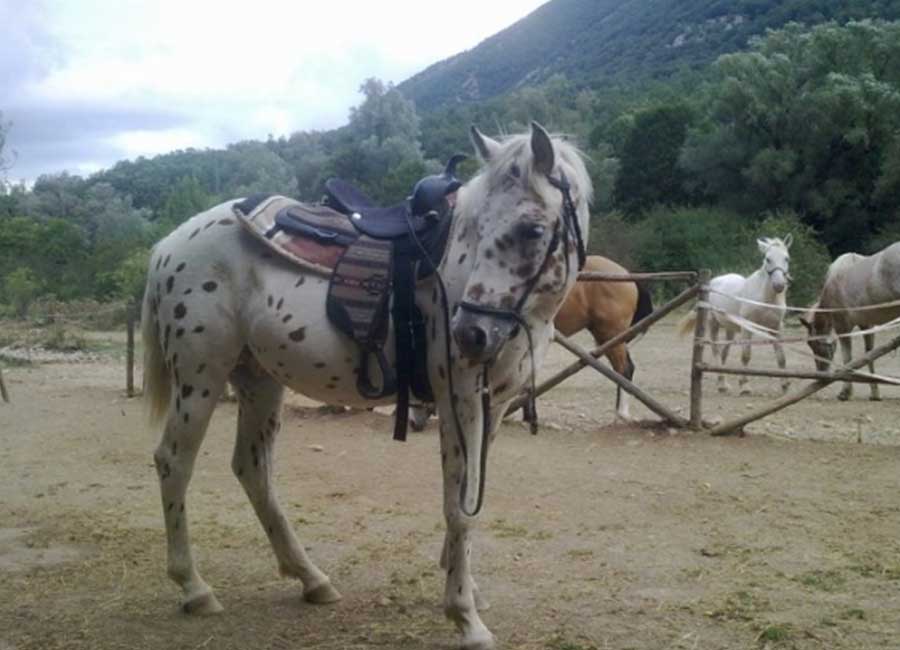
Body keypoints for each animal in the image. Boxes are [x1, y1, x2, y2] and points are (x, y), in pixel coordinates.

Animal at [141, 122, 592, 650]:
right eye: (477, 227)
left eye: (532, 229)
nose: (468, 334)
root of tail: (168, 245)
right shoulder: (459, 399)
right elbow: (458, 507)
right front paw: (464, 617)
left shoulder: (495, 404)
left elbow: (472, 497)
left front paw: (466, 588)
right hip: (200, 374)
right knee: (174, 462)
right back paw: (194, 587)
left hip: (258, 380)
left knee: (253, 471)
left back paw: (311, 578)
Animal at [679, 236, 793, 394]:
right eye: (767, 259)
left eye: (786, 258)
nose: (779, 285)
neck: (765, 298)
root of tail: (712, 282)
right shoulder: (747, 328)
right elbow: (746, 355)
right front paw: (745, 386)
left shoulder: (775, 328)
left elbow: (781, 357)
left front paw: (785, 385)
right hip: (713, 324)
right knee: (716, 350)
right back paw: (722, 384)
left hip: (730, 329)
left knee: (724, 352)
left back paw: (722, 382)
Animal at [799, 242, 900, 401]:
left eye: (811, 343)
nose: (820, 376)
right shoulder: (867, 325)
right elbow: (868, 354)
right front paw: (875, 393)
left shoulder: (842, 327)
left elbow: (848, 359)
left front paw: (845, 392)